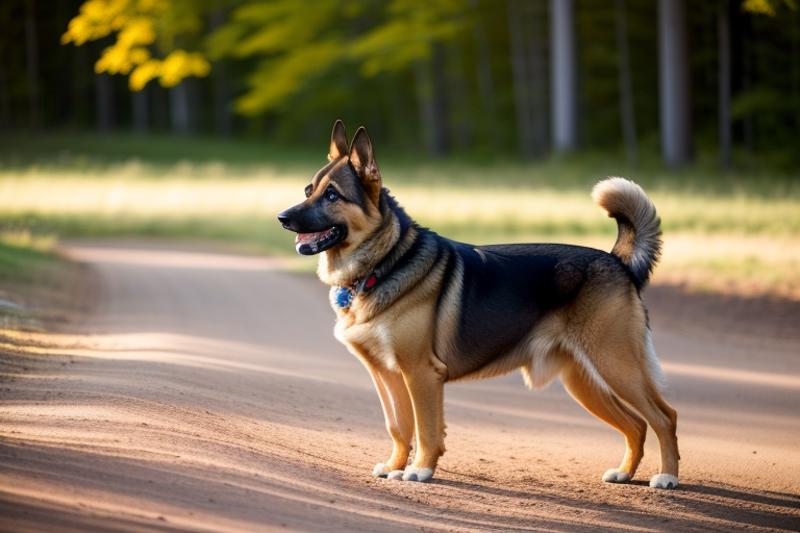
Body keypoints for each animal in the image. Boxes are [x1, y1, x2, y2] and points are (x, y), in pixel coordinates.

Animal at [278, 122, 680, 488]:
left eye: (332, 195)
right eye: (308, 190)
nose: (282, 217)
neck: (382, 263)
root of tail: (618, 261)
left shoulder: (421, 373)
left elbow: (425, 429)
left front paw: (419, 470)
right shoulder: (387, 375)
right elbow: (399, 427)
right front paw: (395, 466)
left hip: (616, 365)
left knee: (664, 417)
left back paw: (667, 477)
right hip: (584, 380)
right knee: (636, 424)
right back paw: (625, 473)